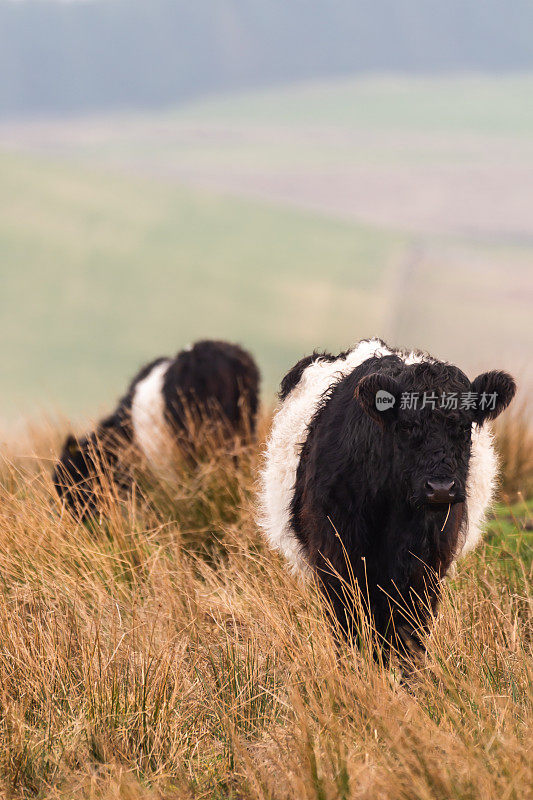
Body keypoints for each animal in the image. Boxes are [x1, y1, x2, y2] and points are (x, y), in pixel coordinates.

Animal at [260, 338, 512, 656]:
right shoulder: (337, 553)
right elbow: (350, 622)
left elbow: (409, 629)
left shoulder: (426, 563)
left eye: (464, 427)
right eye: (406, 426)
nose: (441, 487)